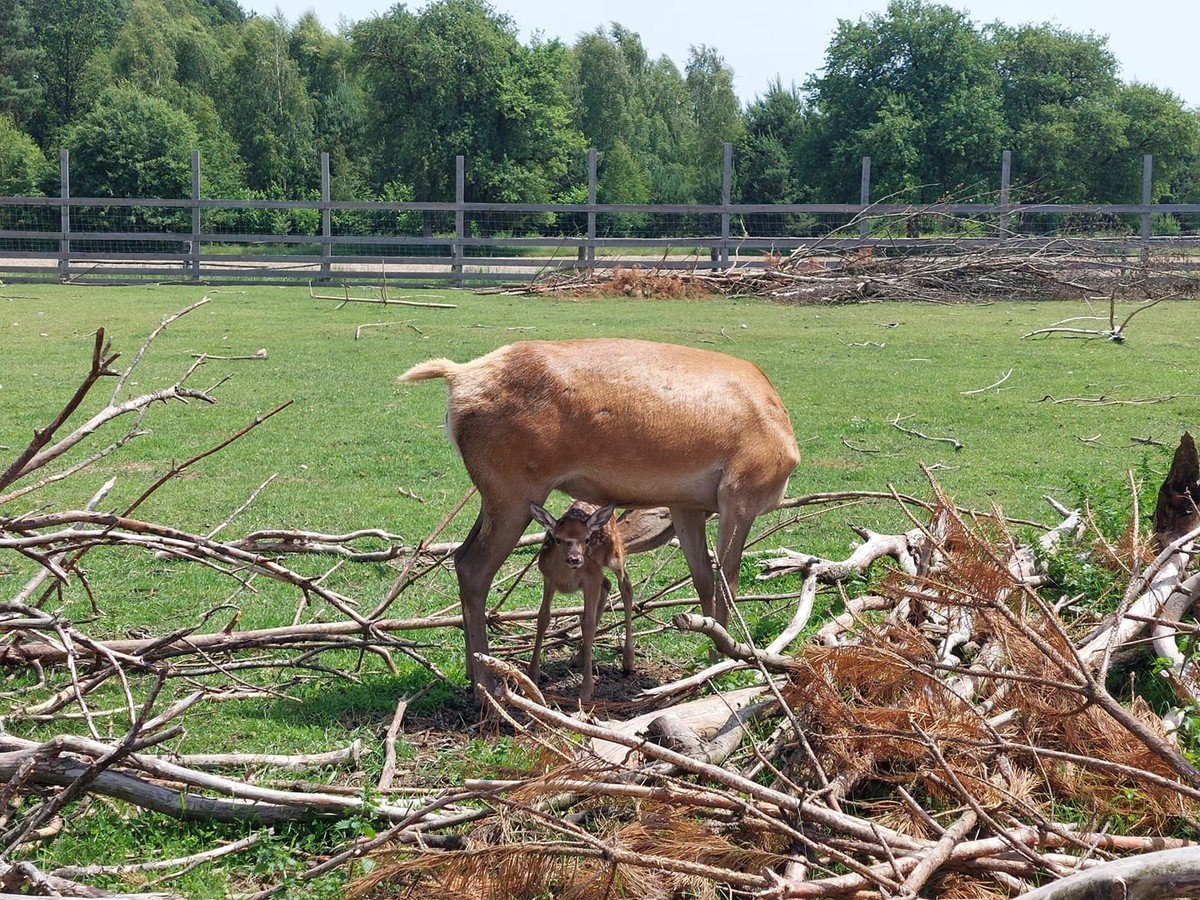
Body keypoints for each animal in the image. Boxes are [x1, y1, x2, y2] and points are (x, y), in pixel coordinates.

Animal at [528, 501, 633, 705]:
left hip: (615, 553)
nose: (575, 559)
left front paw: (586, 690)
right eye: (558, 539)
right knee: (607, 584)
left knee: (625, 585)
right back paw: (579, 657)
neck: (566, 579)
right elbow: (543, 618)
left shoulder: (590, 578)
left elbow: (587, 624)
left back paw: (628, 661)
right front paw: (532, 675)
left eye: (586, 539)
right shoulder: (548, 578)